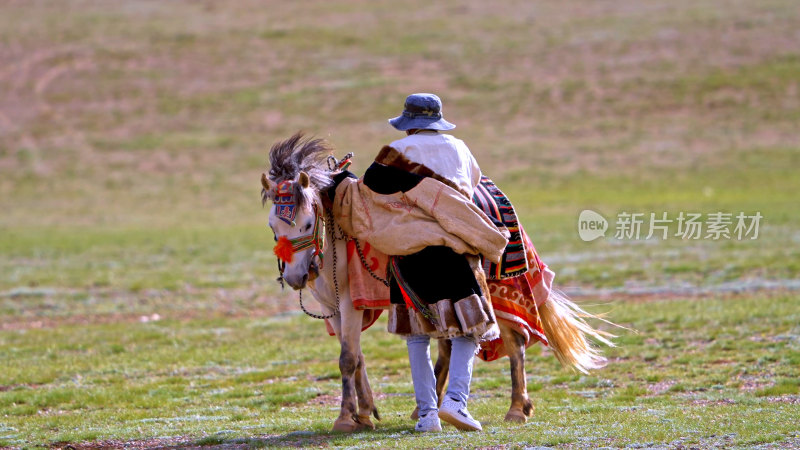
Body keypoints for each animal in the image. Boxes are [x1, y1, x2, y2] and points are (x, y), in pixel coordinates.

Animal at [262, 133, 620, 428]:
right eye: (272, 227)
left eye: (308, 223)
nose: (295, 276)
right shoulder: (333, 308)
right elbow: (356, 358)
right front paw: (364, 414)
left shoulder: (352, 303)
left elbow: (348, 359)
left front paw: (346, 419)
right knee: (449, 344)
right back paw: (427, 407)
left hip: (494, 292)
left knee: (514, 342)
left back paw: (517, 409)